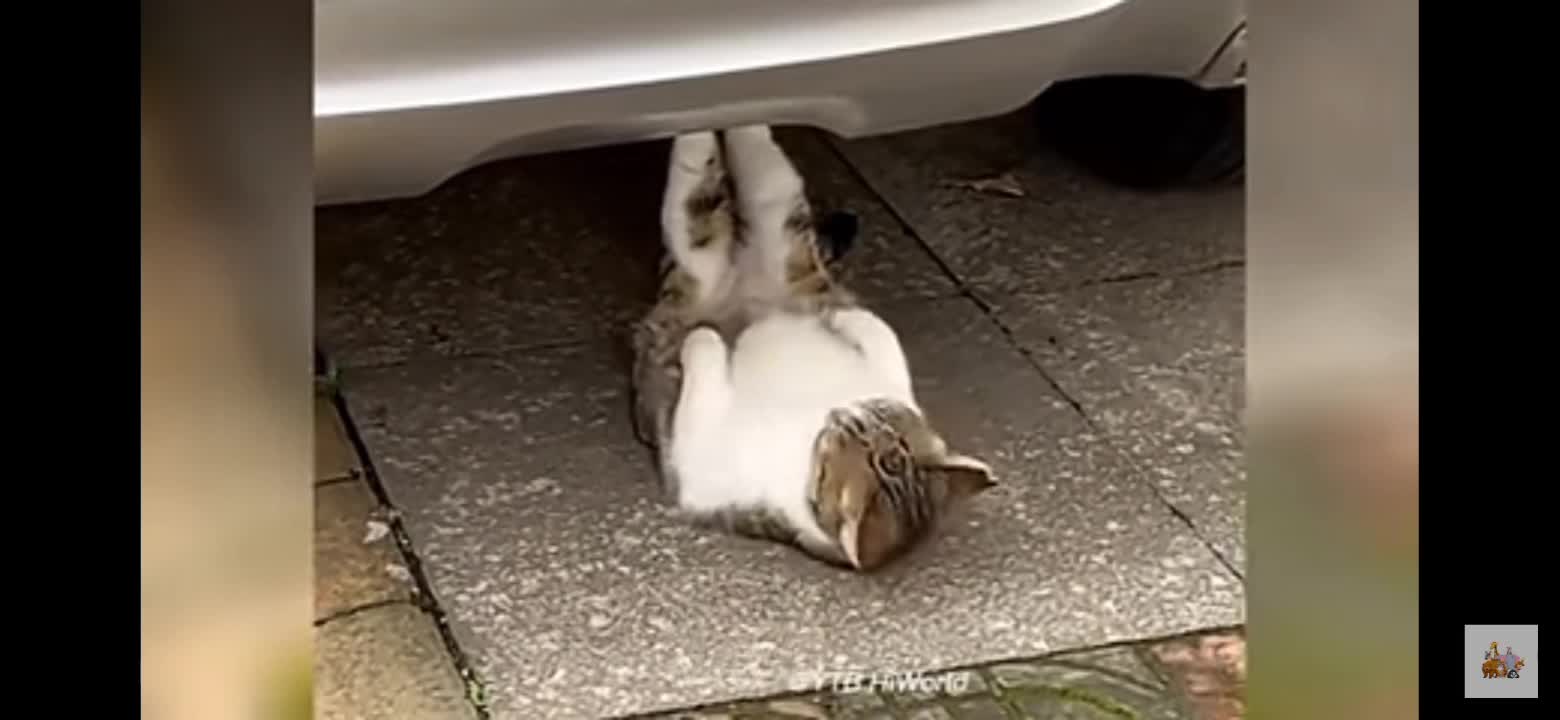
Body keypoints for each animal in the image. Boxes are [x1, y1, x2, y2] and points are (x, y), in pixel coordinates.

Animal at [627, 125, 992, 573]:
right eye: (878, 412)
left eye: (850, 433)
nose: (842, 411)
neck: (804, 436)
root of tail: (740, 279)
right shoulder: (896, 383)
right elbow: (880, 332)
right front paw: (844, 318)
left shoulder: (702, 469)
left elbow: (703, 373)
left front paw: (704, 339)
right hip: (783, 244)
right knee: (752, 165)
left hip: (719, 256)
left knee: (700, 199)